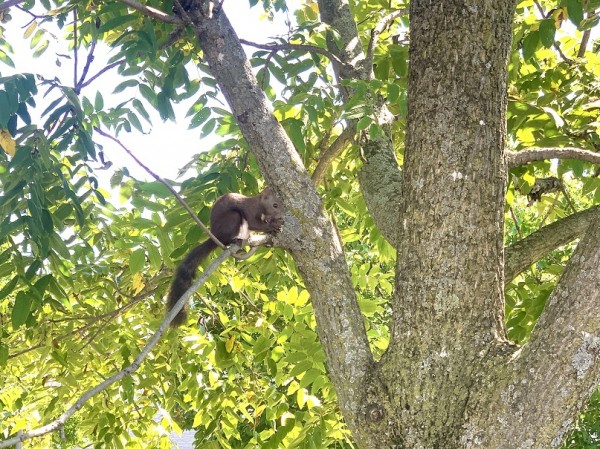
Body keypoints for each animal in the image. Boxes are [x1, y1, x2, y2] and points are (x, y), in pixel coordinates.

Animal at [166, 186, 284, 326]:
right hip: (232, 219)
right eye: (275, 205)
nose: (281, 217)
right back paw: (235, 240)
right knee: (226, 238)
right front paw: (273, 226)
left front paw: (274, 225)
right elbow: (254, 223)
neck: (261, 206)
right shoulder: (249, 210)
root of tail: (215, 235)